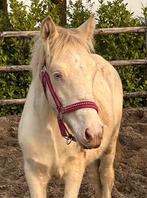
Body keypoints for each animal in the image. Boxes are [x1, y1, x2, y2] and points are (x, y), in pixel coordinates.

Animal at [18, 14, 123, 197]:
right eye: (57, 75)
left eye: (93, 72)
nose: (94, 133)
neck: (51, 132)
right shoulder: (34, 174)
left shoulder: (74, 173)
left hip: (110, 145)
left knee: (106, 177)